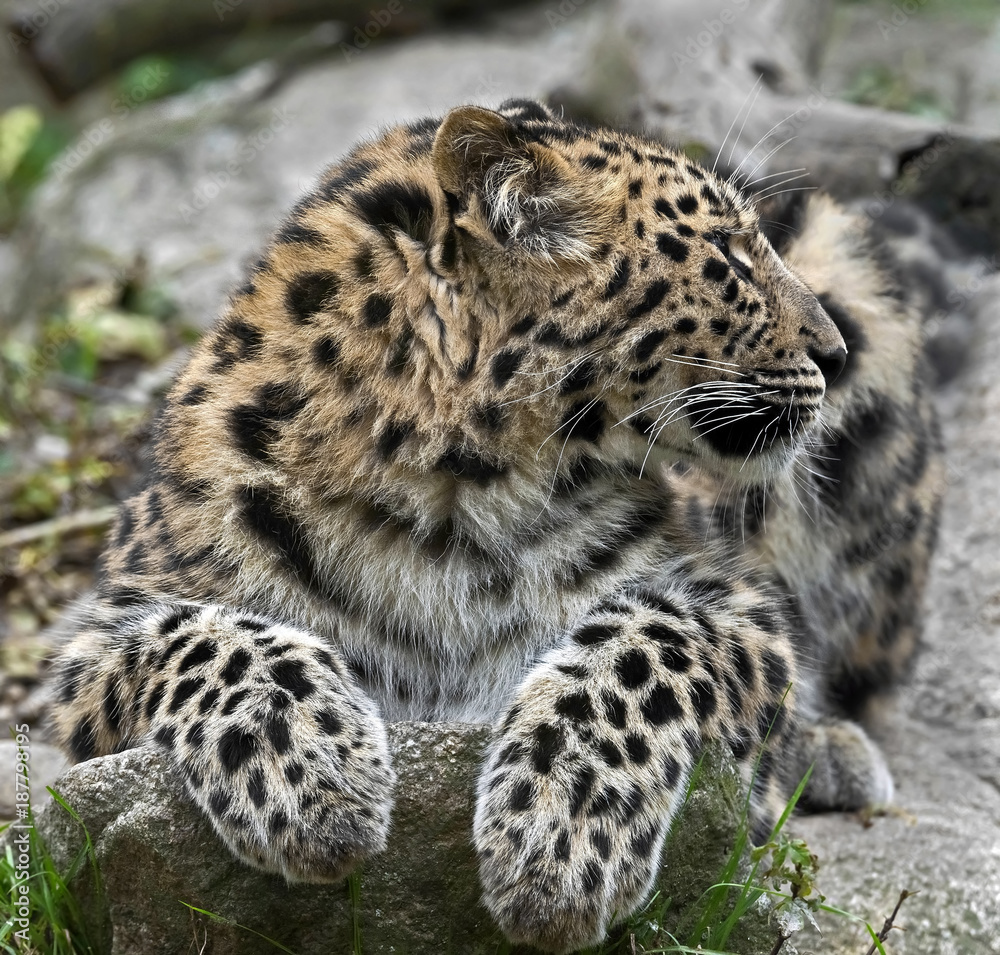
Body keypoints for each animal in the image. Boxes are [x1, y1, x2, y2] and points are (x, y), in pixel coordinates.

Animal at [48, 98, 943, 952]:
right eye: (727, 254)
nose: (832, 350)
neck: (448, 501)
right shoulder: (94, 651)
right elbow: (209, 636)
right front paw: (312, 774)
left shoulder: (742, 609)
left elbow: (644, 639)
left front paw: (562, 832)